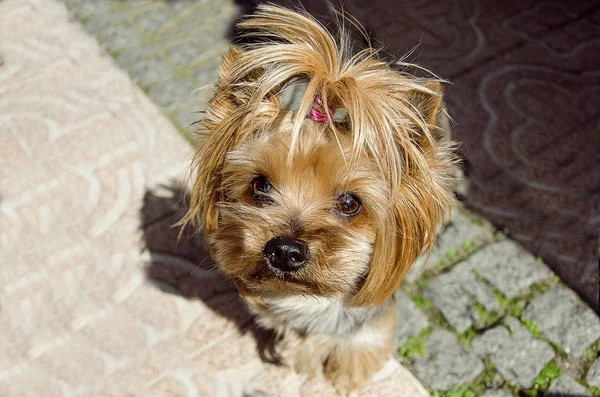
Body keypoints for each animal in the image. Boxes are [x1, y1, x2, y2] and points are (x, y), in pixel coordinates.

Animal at [185, 3, 458, 392]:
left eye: (350, 203)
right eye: (259, 184)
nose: (284, 250)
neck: (311, 298)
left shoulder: (368, 329)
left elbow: (353, 353)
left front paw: (343, 381)